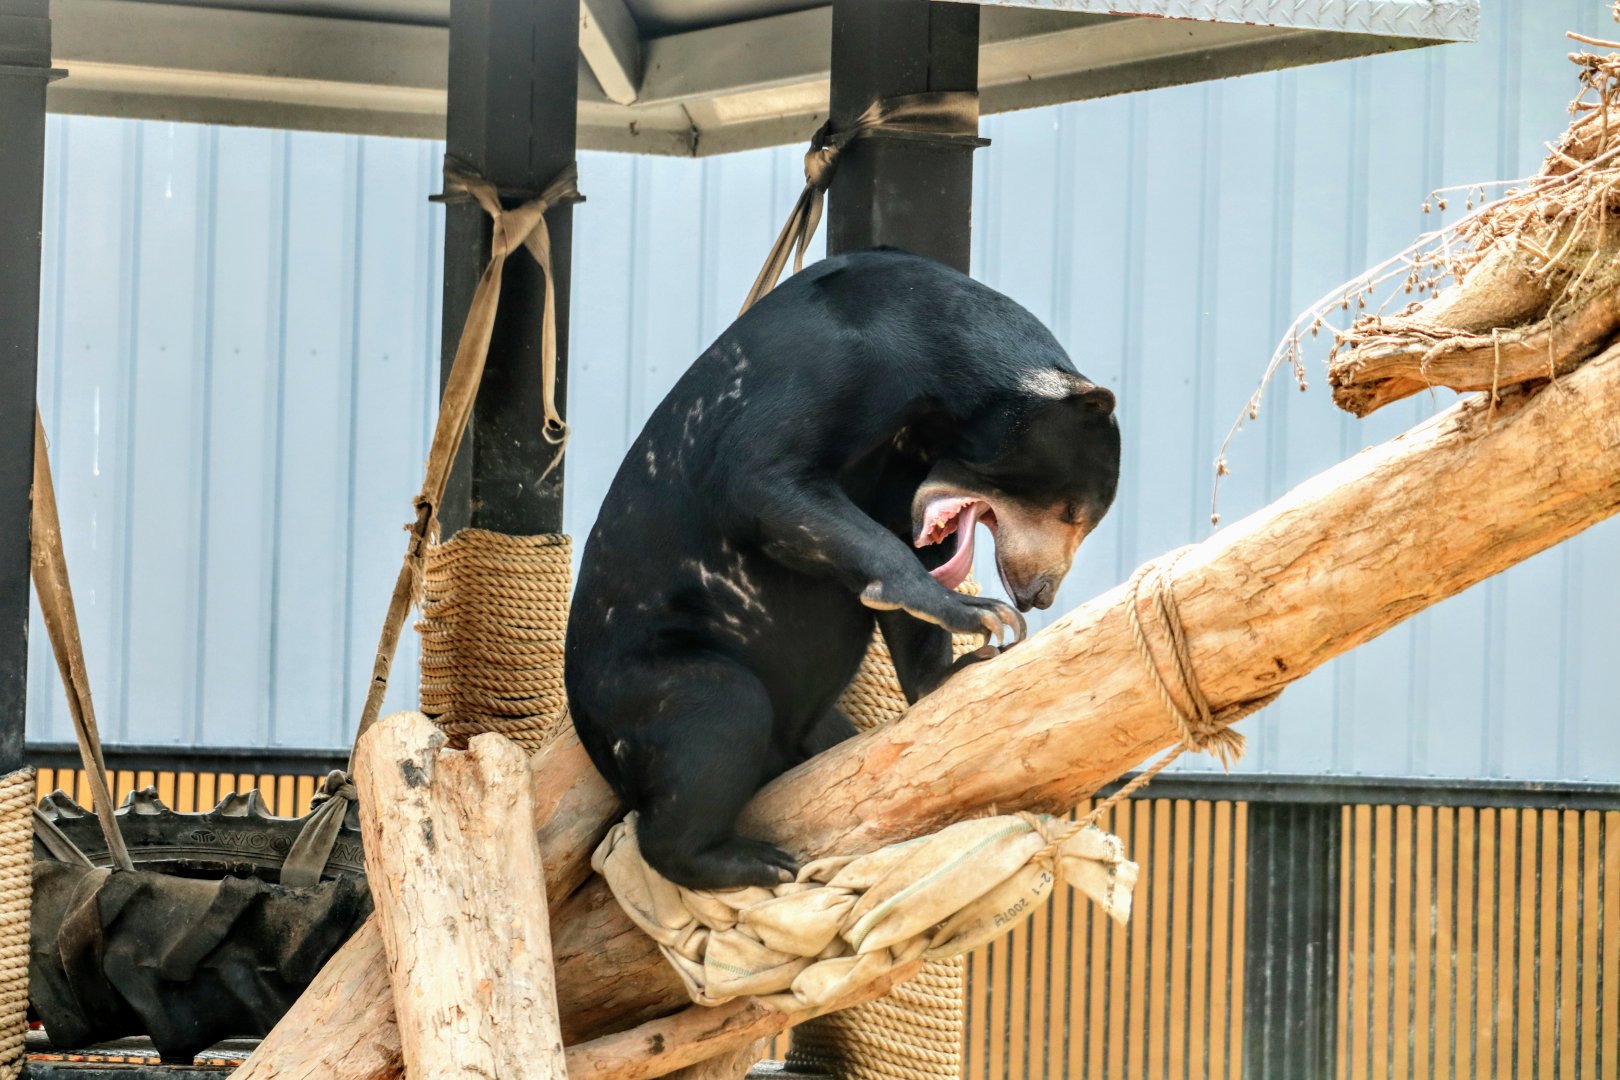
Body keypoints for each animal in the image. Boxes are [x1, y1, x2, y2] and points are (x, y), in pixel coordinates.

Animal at [565, 247, 1120, 891]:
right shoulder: (826, 367)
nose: (1039, 594)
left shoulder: (907, 463)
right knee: (719, 712)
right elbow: (760, 478)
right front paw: (979, 611)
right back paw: (748, 859)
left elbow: (902, 536)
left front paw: (956, 664)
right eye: (1072, 511)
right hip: (647, 685)